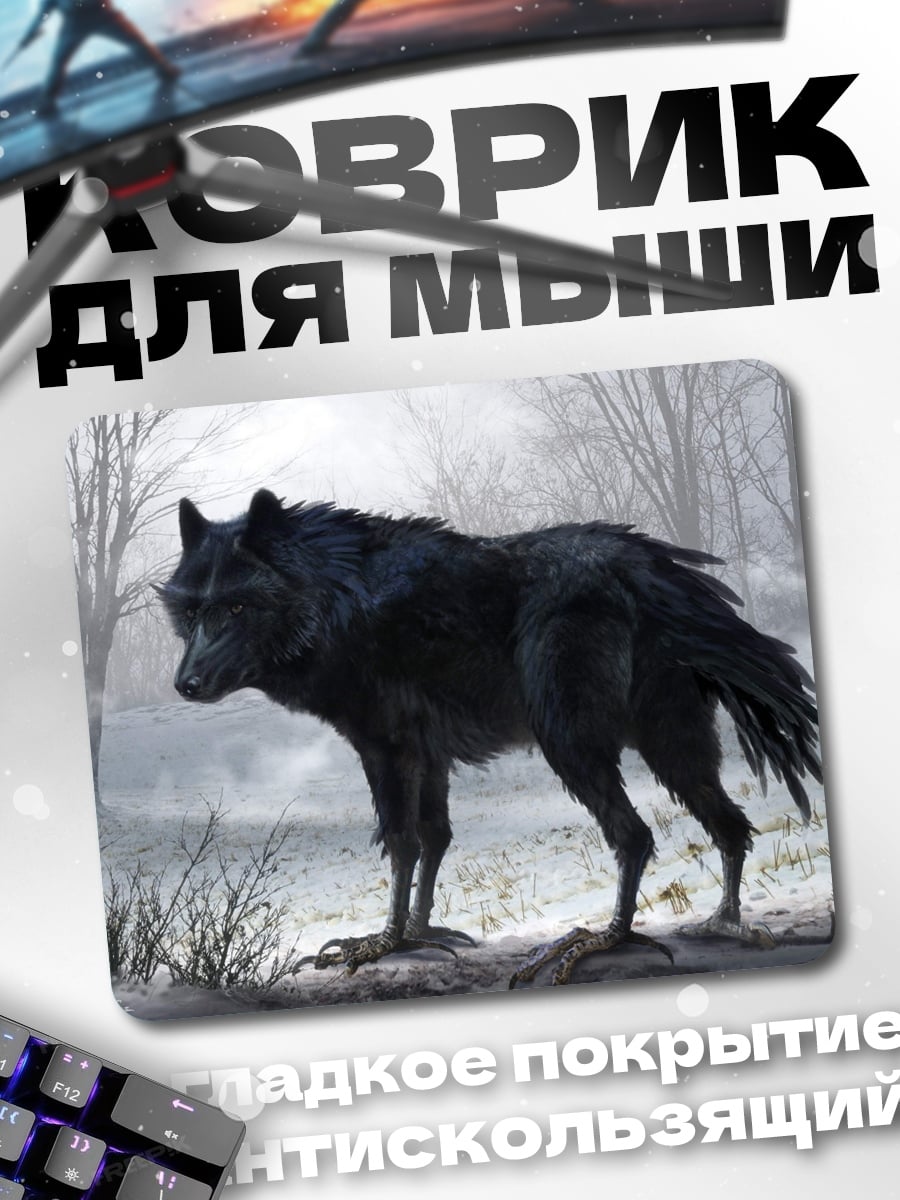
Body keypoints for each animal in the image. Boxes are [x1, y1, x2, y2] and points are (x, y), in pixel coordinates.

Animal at [161, 488, 821, 986]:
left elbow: (401, 843)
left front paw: (383, 942)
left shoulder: (385, 748)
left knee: (636, 836)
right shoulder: (427, 754)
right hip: (671, 742)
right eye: (193, 612)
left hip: (572, 743)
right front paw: (422, 932)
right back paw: (723, 924)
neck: (336, 600)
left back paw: (601, 939)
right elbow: (435, 839)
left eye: (237, 608)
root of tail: (649, 569)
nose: (185, 685)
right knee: (730, 825)